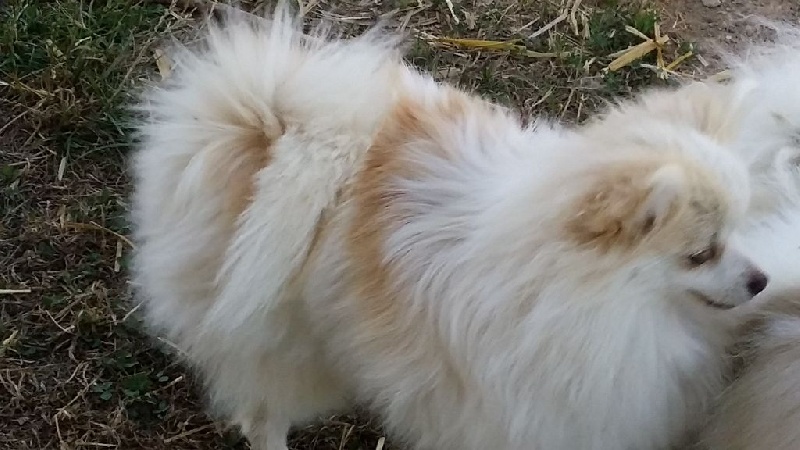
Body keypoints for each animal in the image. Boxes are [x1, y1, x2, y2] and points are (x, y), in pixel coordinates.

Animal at [130, 6, 768, 449]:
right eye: (701, 254)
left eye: (739, 232)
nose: (761, 280)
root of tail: (269, 129)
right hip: (285, 348)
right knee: (262, 412)